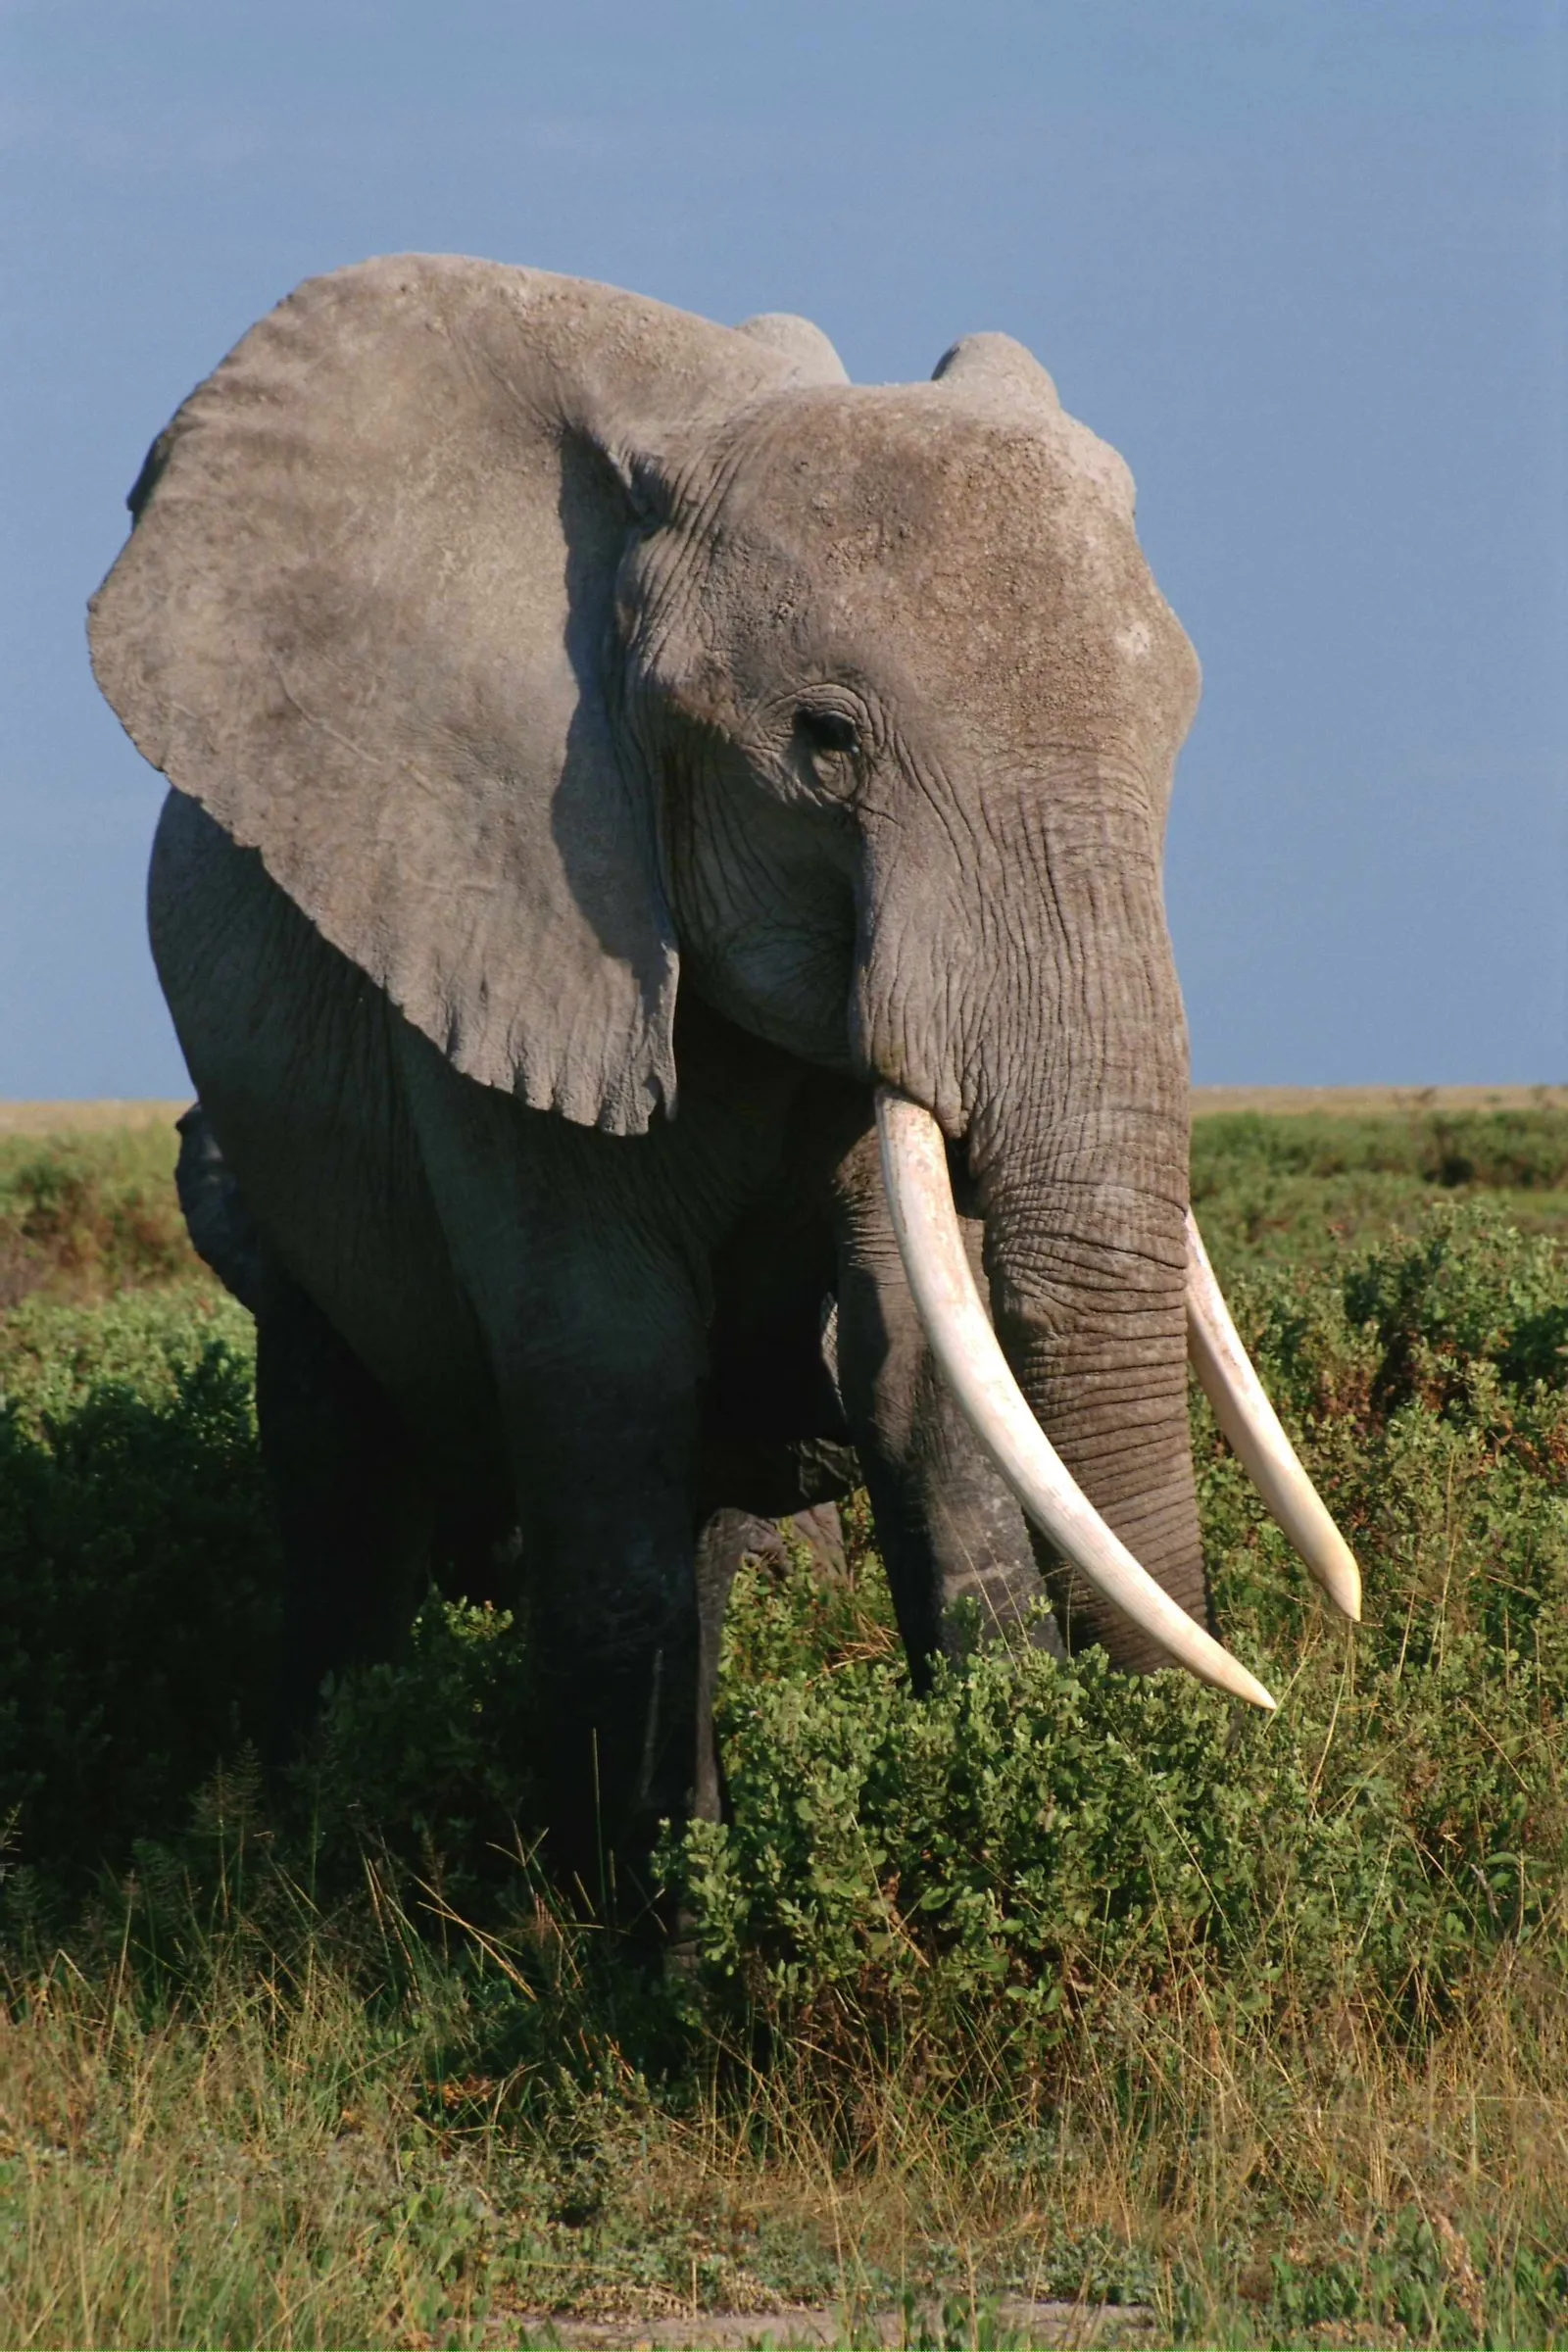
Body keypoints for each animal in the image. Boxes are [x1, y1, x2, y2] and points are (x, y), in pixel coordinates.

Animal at [90, 256, 1359, 1905]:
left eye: (1180, 732)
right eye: (823, 741)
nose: (1243, 1721)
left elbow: (919, 1376)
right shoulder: (509, 930)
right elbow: (605, 1376)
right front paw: (649, 1942)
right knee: (340, 1483)